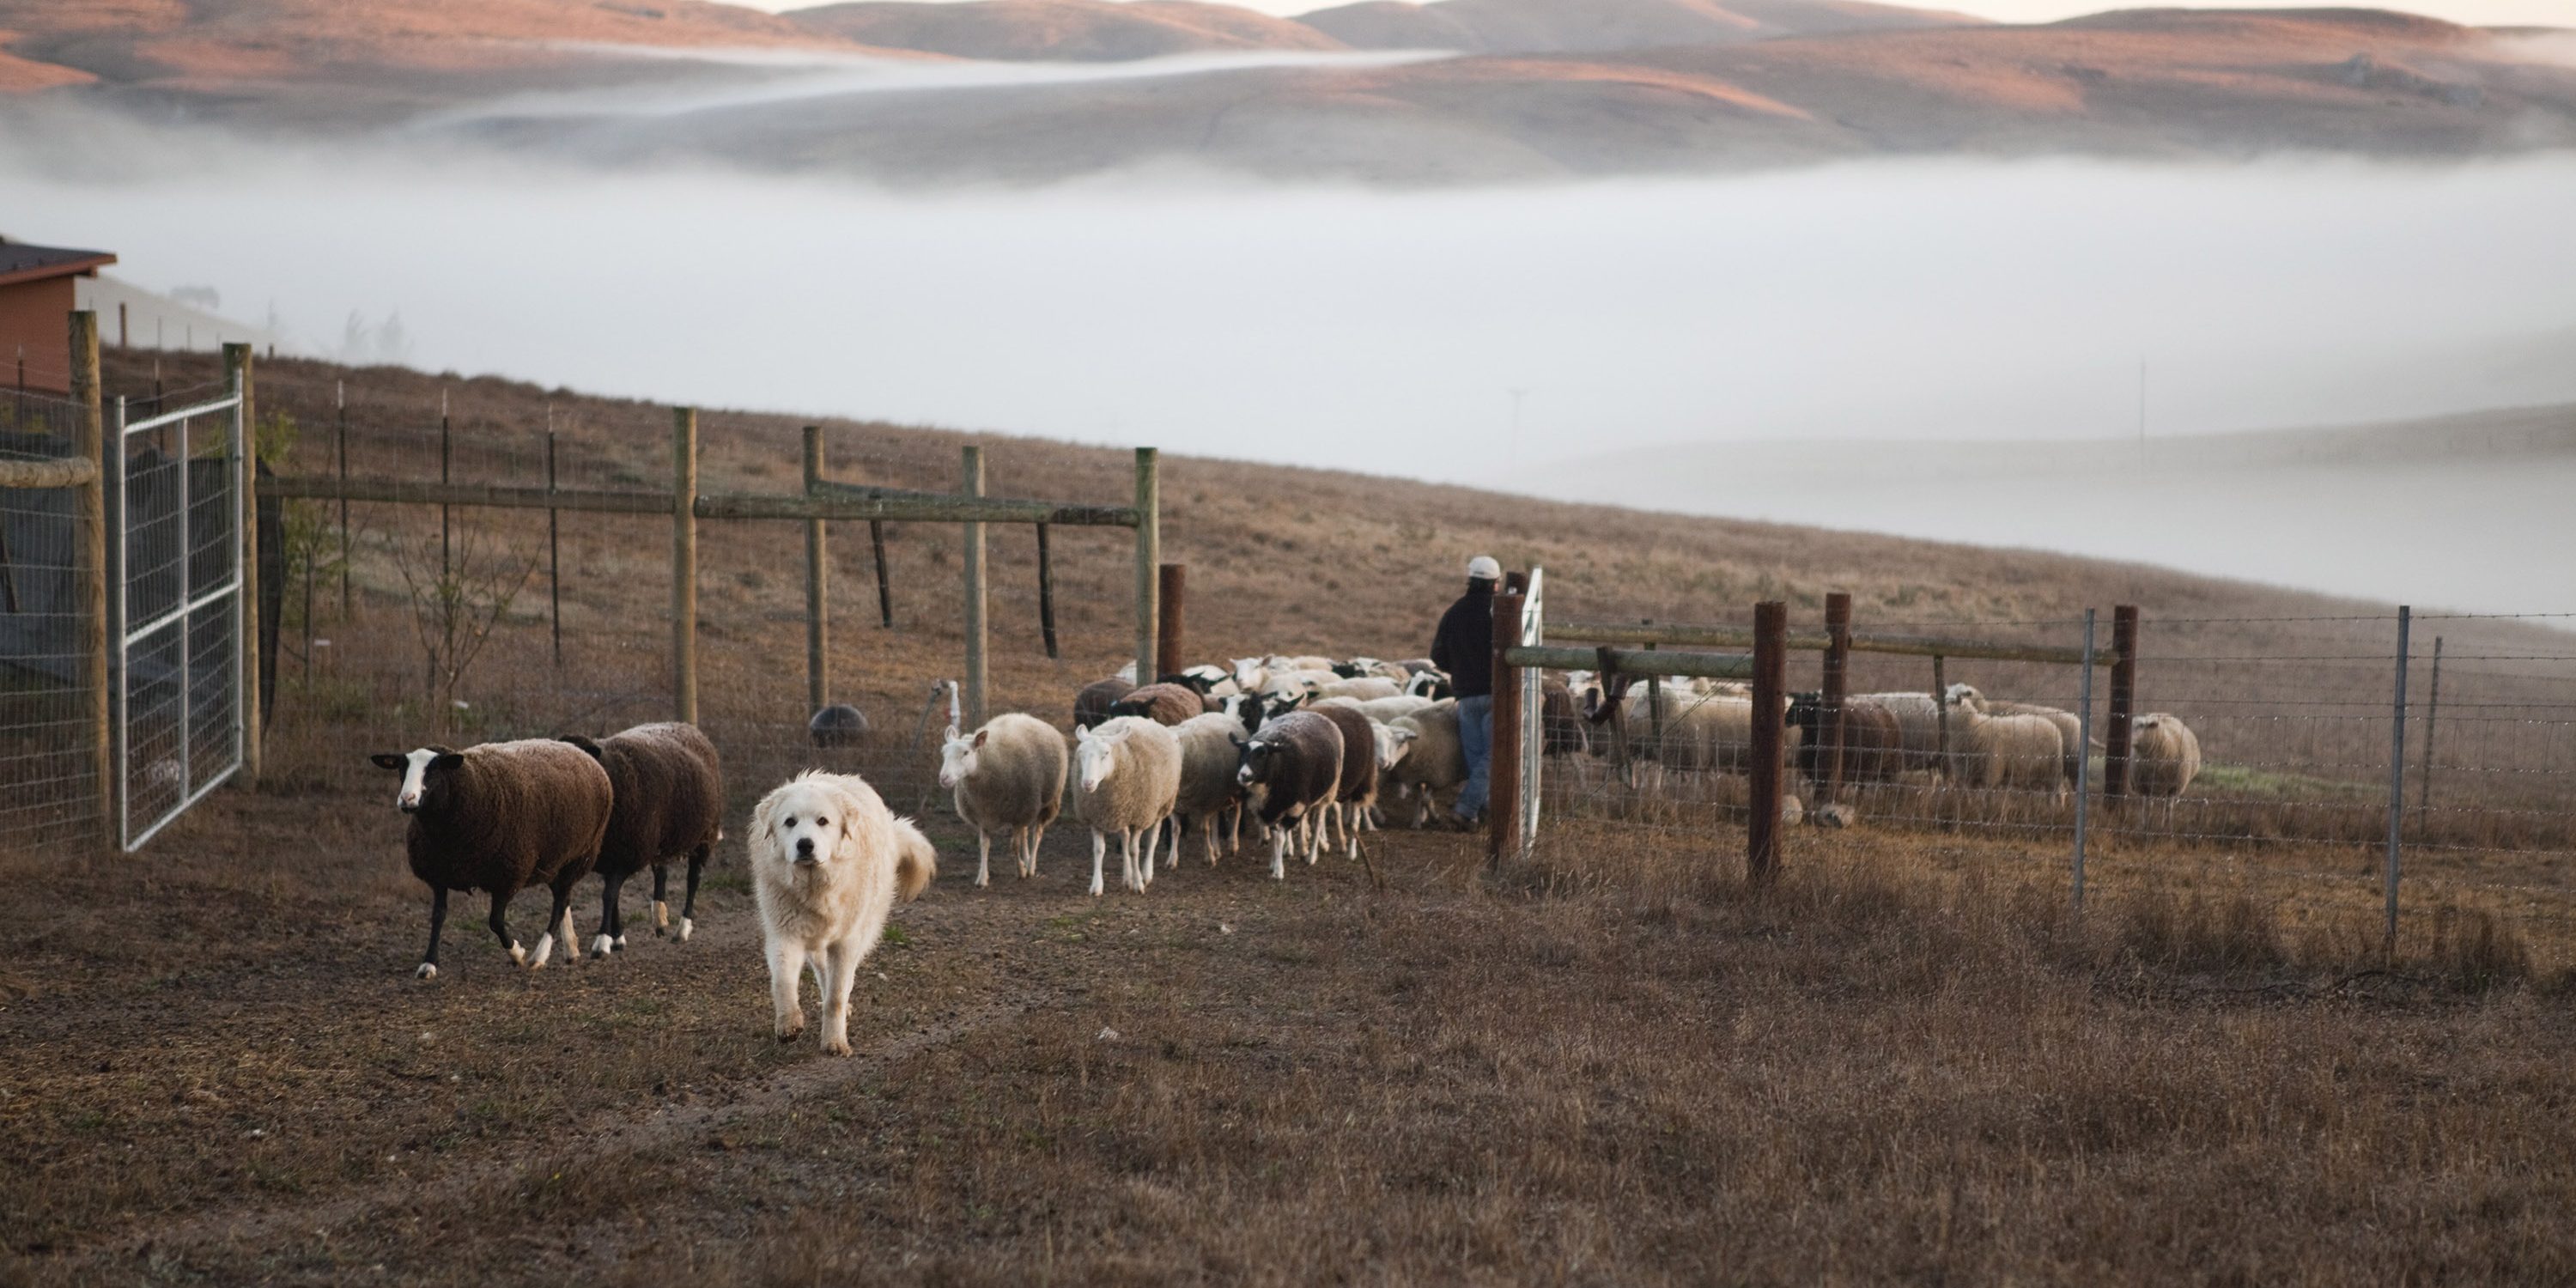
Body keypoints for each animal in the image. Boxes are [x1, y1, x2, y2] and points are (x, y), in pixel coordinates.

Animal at [368, 742, 613, 979]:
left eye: (434, 769)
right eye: (401, 768)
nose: (406, 799)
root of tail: (580, 752)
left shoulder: (507, 876)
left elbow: (495, 922)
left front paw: (518, 953)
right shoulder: (439, 874)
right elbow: (438, 916)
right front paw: (428, 964)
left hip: (579, 856)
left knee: (560, 903)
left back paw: (540, 955)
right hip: (554, 860)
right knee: (562, 899)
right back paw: (571, 950)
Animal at [562, 726, 726, 958]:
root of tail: (690, 729)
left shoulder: (627, 857)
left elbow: (609, 896)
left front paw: (602, 942)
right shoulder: (610, 857)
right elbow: (614, 897)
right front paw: (618, 938)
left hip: (704, 837)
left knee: (693, 880)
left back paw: (682, 929)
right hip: (661, 841)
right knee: (662, 873)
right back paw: (659, 920)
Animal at [747, 773, 938, 1056]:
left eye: (823, 821)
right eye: (790, 822)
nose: (805, 845)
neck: (815, 886)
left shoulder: (845, 943)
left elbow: (836, 997)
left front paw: (835, 1042)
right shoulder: (785, 937)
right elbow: (783, 982)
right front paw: (789, 1022)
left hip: (862, 932)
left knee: (842, 981)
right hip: (817, 944)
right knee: (822, 972)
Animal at [938, 716, 1066, 886]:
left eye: (966, 753)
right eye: (944, 752)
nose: (944, 778)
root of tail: (1032, 719)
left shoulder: (1020, 811)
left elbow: (1014, 845)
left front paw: (1020, 871)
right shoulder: (983, 815)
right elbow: (984, 845)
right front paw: (982, 878)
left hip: (1047, 801)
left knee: (1037, 833)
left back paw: (1031, 866)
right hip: (1026, 809)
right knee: (1025, 832)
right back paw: (1026, 860)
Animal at [1072, 716, 1180, 896]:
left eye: (1106, 754)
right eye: (1081, 754)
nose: (1087, 783)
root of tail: (1146, 719)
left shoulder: (1139, 818)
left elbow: (1134, 851)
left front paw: (1139, 884)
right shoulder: (1096, 818)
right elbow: (1099, 850)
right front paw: (1096, 886)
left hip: (1160, 805)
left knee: (1152, 838)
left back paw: (1146, 874)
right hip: (1122, 813)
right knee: (1124, 837)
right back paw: (1127, 877)